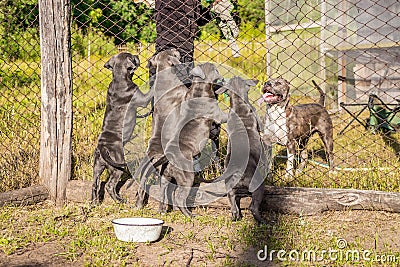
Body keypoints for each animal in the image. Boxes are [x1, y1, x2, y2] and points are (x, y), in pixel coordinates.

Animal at [92, 52, 153, 205]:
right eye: (132, 57)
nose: (137, 55)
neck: (119, 77)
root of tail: (103, 148)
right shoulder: (142, 98)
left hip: (97, 166)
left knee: (95, 184)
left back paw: (94, 203)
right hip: (117, 167)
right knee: (109, 185)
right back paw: (120, 200)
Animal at [214, 77, 268, 224]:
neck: (239, 105)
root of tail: (240, 174)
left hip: (229, 189)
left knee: (233, 206)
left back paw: (235, 217)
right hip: (258, 187)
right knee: (253, 207)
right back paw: (262, 221)